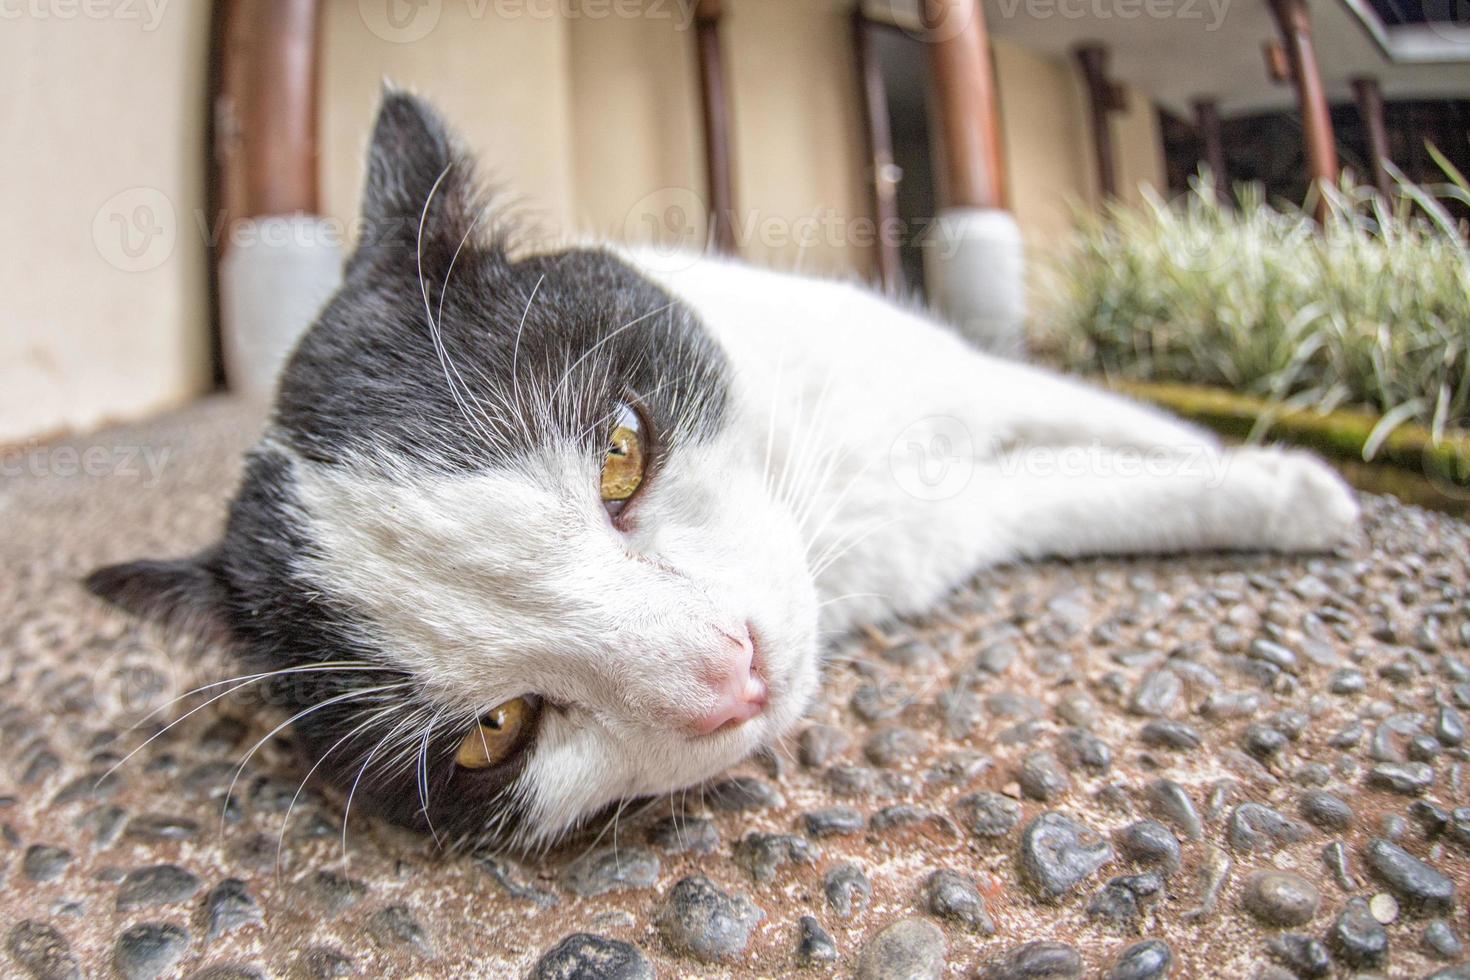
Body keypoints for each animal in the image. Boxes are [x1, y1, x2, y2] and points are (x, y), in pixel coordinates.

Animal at [85, 91, 1358, 852]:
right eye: (495, 729)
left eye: (619, 453)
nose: (730, 672)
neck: (837, 503)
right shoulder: (965, 518)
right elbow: (1083, 488)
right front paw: (1279, 489)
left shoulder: (961, 371)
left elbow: (1114, 418)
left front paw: (1278, 475)